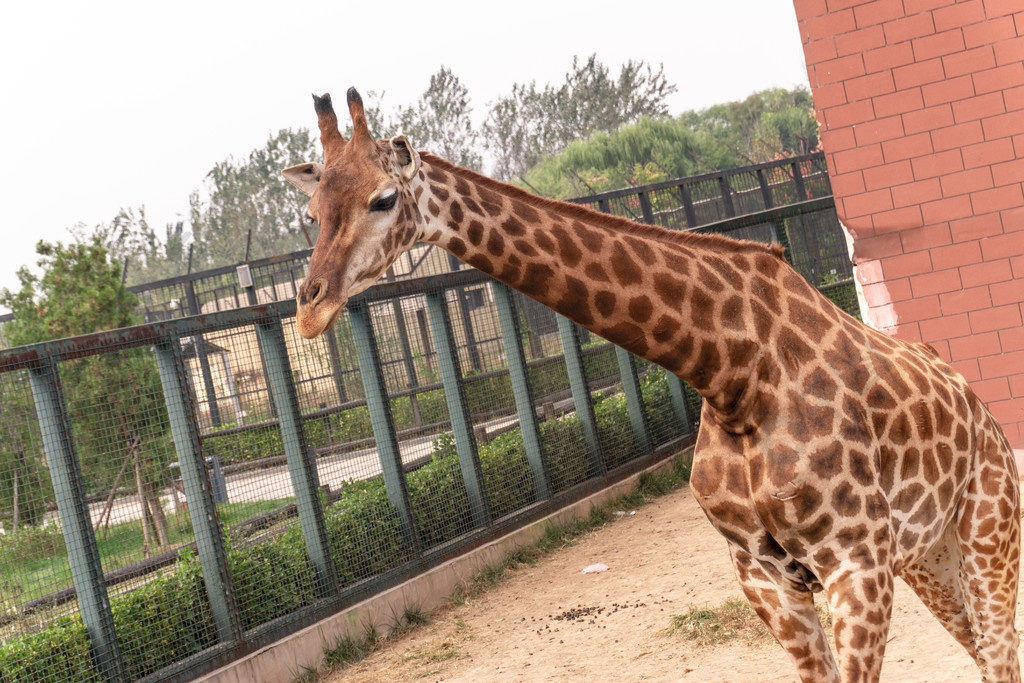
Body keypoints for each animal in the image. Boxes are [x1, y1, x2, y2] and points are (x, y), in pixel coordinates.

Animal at [282, 88, 1024, 679]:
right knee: (982, 651)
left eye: (383, 198)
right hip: (928, 552)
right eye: (312, 210)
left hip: (987, 525)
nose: (308, 307)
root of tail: (978, 404)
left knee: (999, 652)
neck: (730, 373)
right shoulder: (766, 577)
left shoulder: (855, 565)